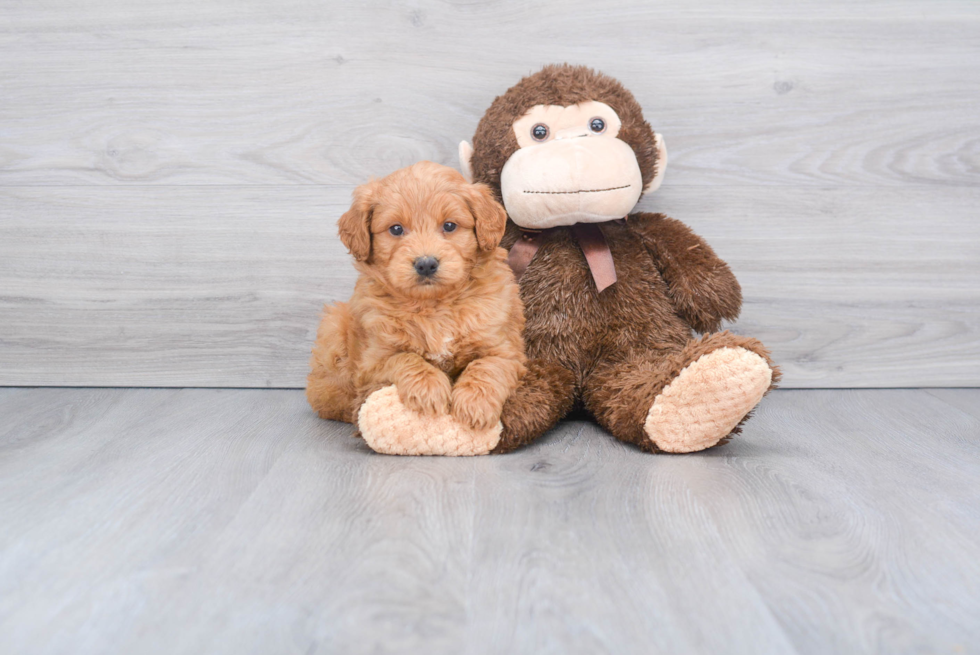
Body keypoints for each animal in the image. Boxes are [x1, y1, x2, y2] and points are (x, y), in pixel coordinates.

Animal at [308, 161, 528, 434]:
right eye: (396, 229)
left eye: (449, 226)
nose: (426, 264)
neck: (434, 305)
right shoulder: (371, 362)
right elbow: (406, 358)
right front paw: (429, 389)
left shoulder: (505, 350)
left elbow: (486, 367)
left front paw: (474, 404)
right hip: (334, 325)